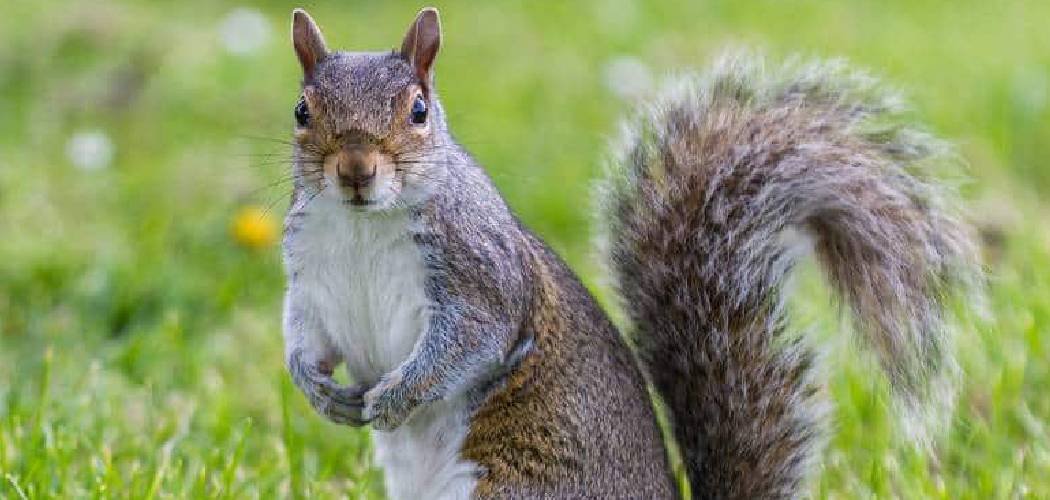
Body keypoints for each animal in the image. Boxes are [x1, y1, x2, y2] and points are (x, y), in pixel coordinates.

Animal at [280, 7, 978, 500]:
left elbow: (472, 338)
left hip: (518, 485)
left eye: (419, 111)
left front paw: (394, 397)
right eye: (302, 110)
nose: (355, 171)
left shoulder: (481, 270)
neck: (362, 225)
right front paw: (317, 390)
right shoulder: (309, 278)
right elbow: (305, 333)